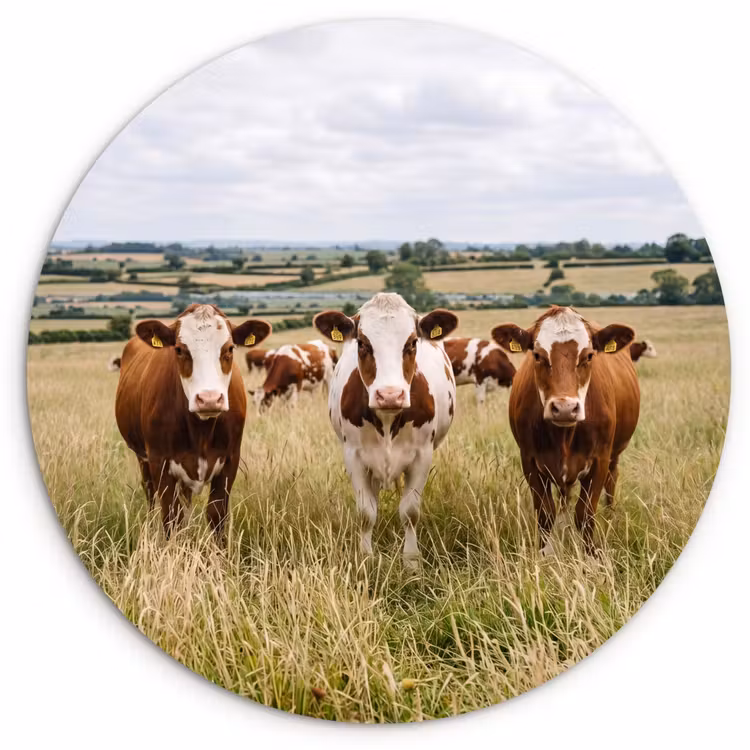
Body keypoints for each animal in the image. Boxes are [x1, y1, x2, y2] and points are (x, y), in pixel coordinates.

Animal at [114, 304, 271, 538]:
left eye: (230, 348)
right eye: (179, 349)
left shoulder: (230, 460)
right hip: (143, 458)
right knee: (150, 493)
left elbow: (216, 514)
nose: (209, 399)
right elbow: (171, 517)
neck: (201, 431)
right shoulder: (160, 462)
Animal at [314, 293, 458, 569]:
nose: (390, 395)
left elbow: (410, 511)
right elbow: (366, 512)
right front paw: (366, 557)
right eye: (362, 344)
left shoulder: (422, 455)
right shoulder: (354, 456)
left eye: (412, 343)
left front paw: (411, 561)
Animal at [491, 306, 640, 555]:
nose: (564, 408)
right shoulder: (530, 461)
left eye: (588, 356)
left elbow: (585, 514)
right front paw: (545, 553)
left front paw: (591, 555)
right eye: (537, 355)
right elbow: (545, 513)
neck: (564, 436)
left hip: (615, 454)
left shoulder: (600, 460)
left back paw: (611, 515)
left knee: (612, 479)